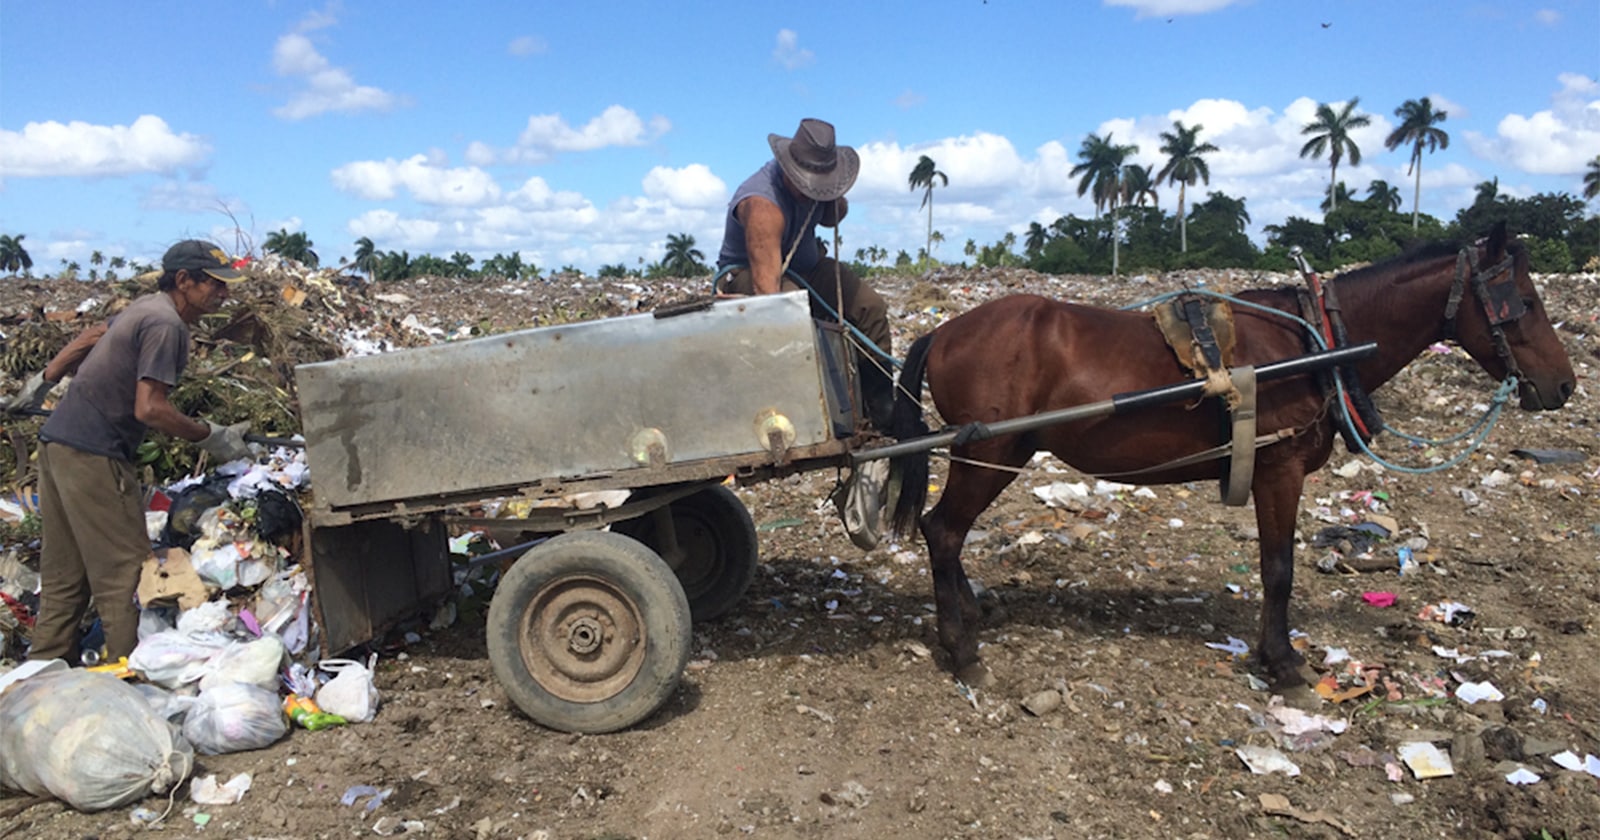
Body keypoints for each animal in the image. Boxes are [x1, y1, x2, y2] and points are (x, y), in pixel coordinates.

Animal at [889, 225, 1574, 684]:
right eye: (1527, 304)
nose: (1565, 386)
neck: (1318, 345)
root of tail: (944, 330)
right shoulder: (1280, 470)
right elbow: (1278, 569)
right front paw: (1284, 661)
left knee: (945, 534)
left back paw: (970, 613)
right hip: (989, 450)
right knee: (942, 530)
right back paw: (961, 650)